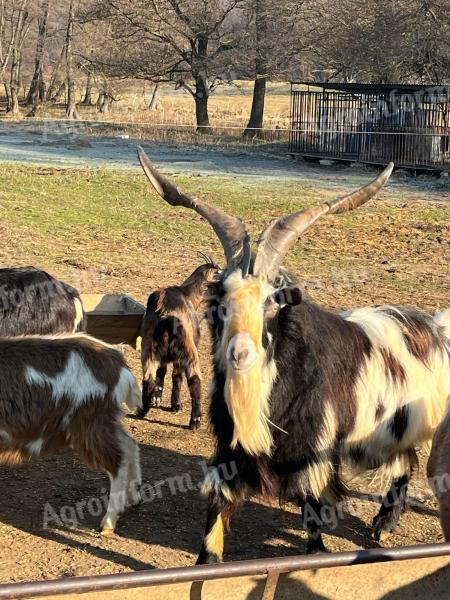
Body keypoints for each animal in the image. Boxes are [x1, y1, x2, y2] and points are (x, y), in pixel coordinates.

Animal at [0, 332, 142, 536]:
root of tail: (120, 366)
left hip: (89, 424)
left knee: (117, 460)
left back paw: (108, 523)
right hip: (103, 420)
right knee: (129, 445)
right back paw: (134, 497)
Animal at [138, 255, 221, 428]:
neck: (187, 294)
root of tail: (167, 317)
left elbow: (162, 371)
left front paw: (158, 398)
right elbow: (176, 375)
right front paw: (175, 405)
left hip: (149, 348)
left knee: (149, 377)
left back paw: (143, 410)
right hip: (187, 350)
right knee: (193, 380)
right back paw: (194, 420)